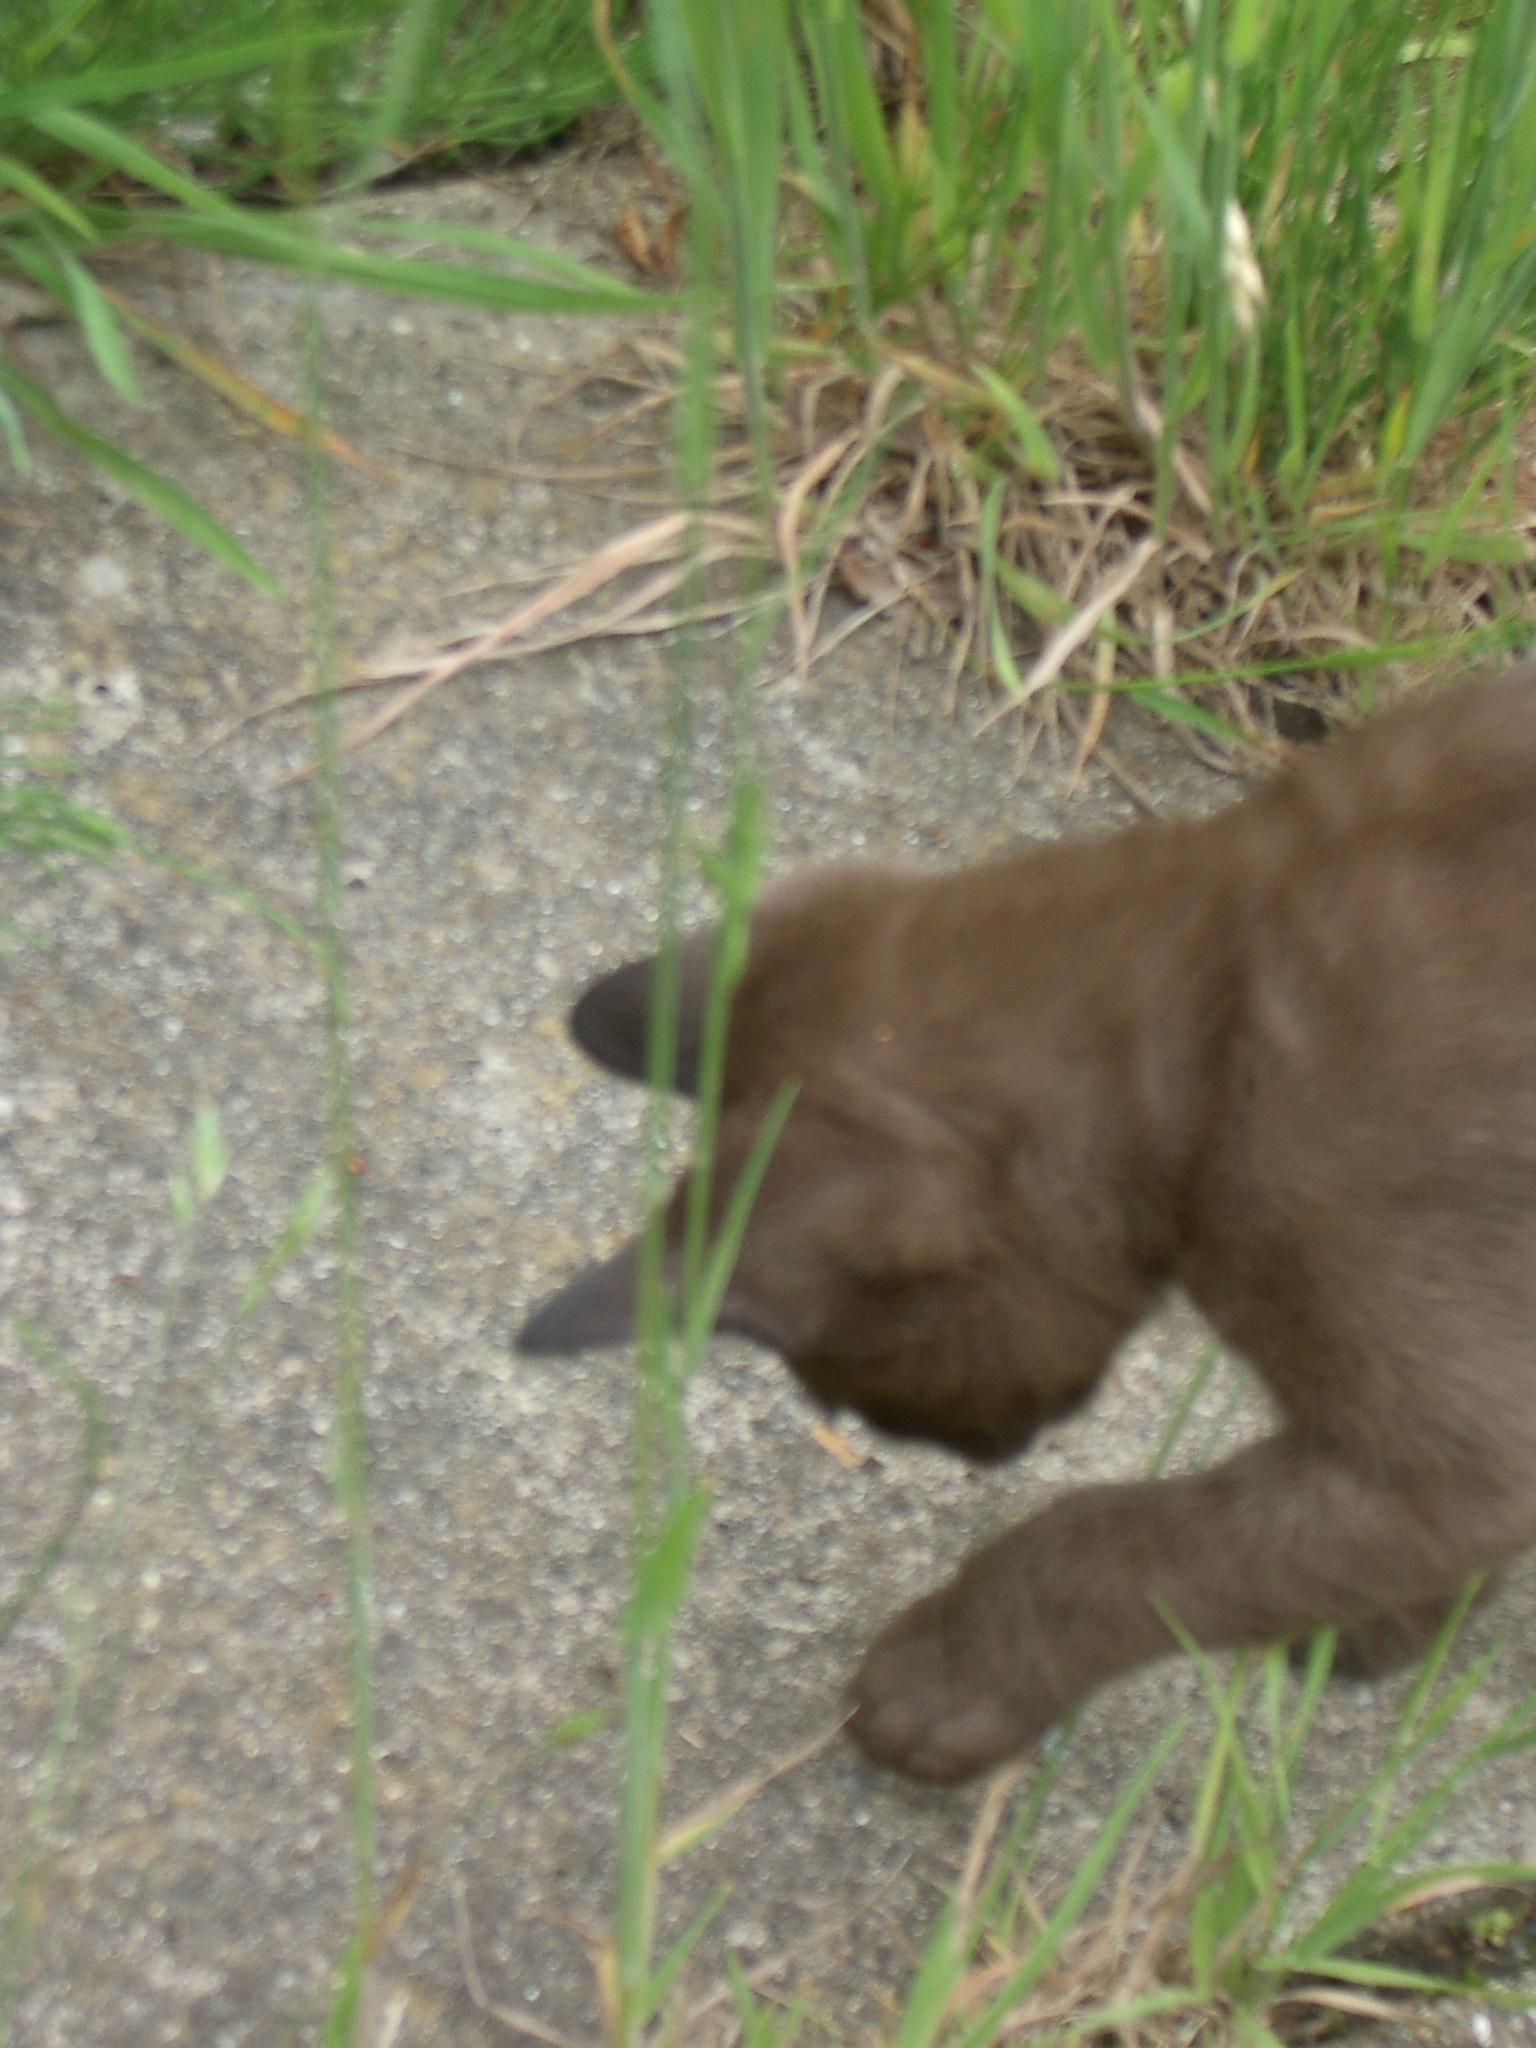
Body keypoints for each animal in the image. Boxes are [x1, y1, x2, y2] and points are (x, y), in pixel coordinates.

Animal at [519, 668, 1536, 1783]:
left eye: (844, 1392)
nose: (996, 1453)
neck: (1221, 991)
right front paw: (1390, 1624)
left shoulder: (1457, 1453)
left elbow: (1121, 1546)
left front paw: (943, 1685)